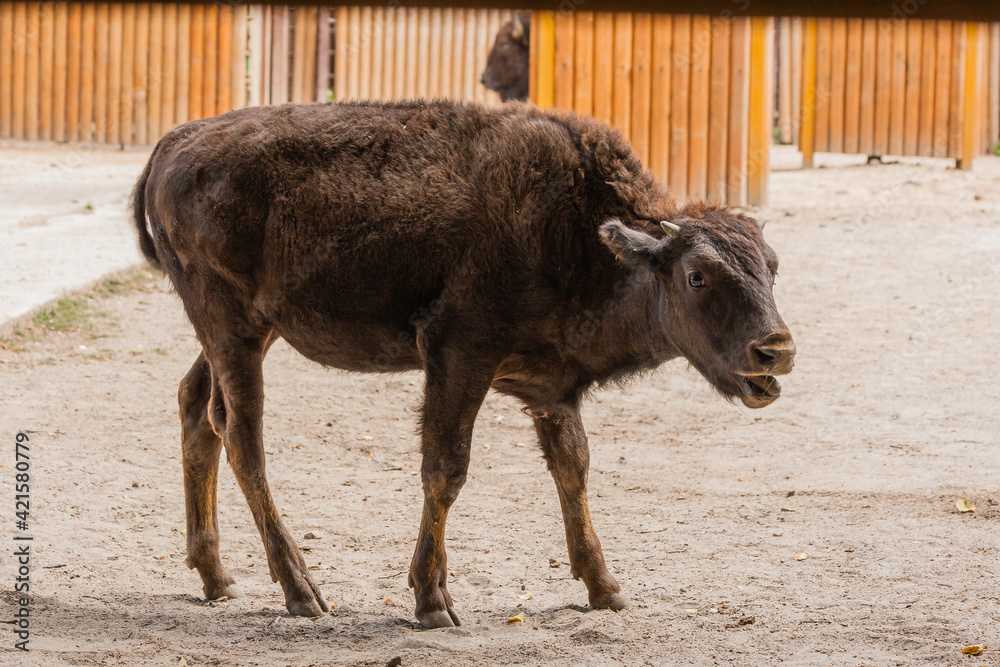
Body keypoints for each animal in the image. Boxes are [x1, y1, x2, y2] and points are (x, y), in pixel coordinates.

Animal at [131, 100, 795, 628]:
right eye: (697, 275)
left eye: (772, 266)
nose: (777, 351)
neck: (585, 236)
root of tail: (171, 144)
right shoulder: (458, 355)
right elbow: (446, 469)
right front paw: (432, 602)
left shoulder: (551, 391)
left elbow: (573, 467)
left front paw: (606, 588)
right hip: (233, 328)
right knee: (241, 435)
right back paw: (302, 592)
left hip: (249, 331)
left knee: (196, 408)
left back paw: (217, 578)